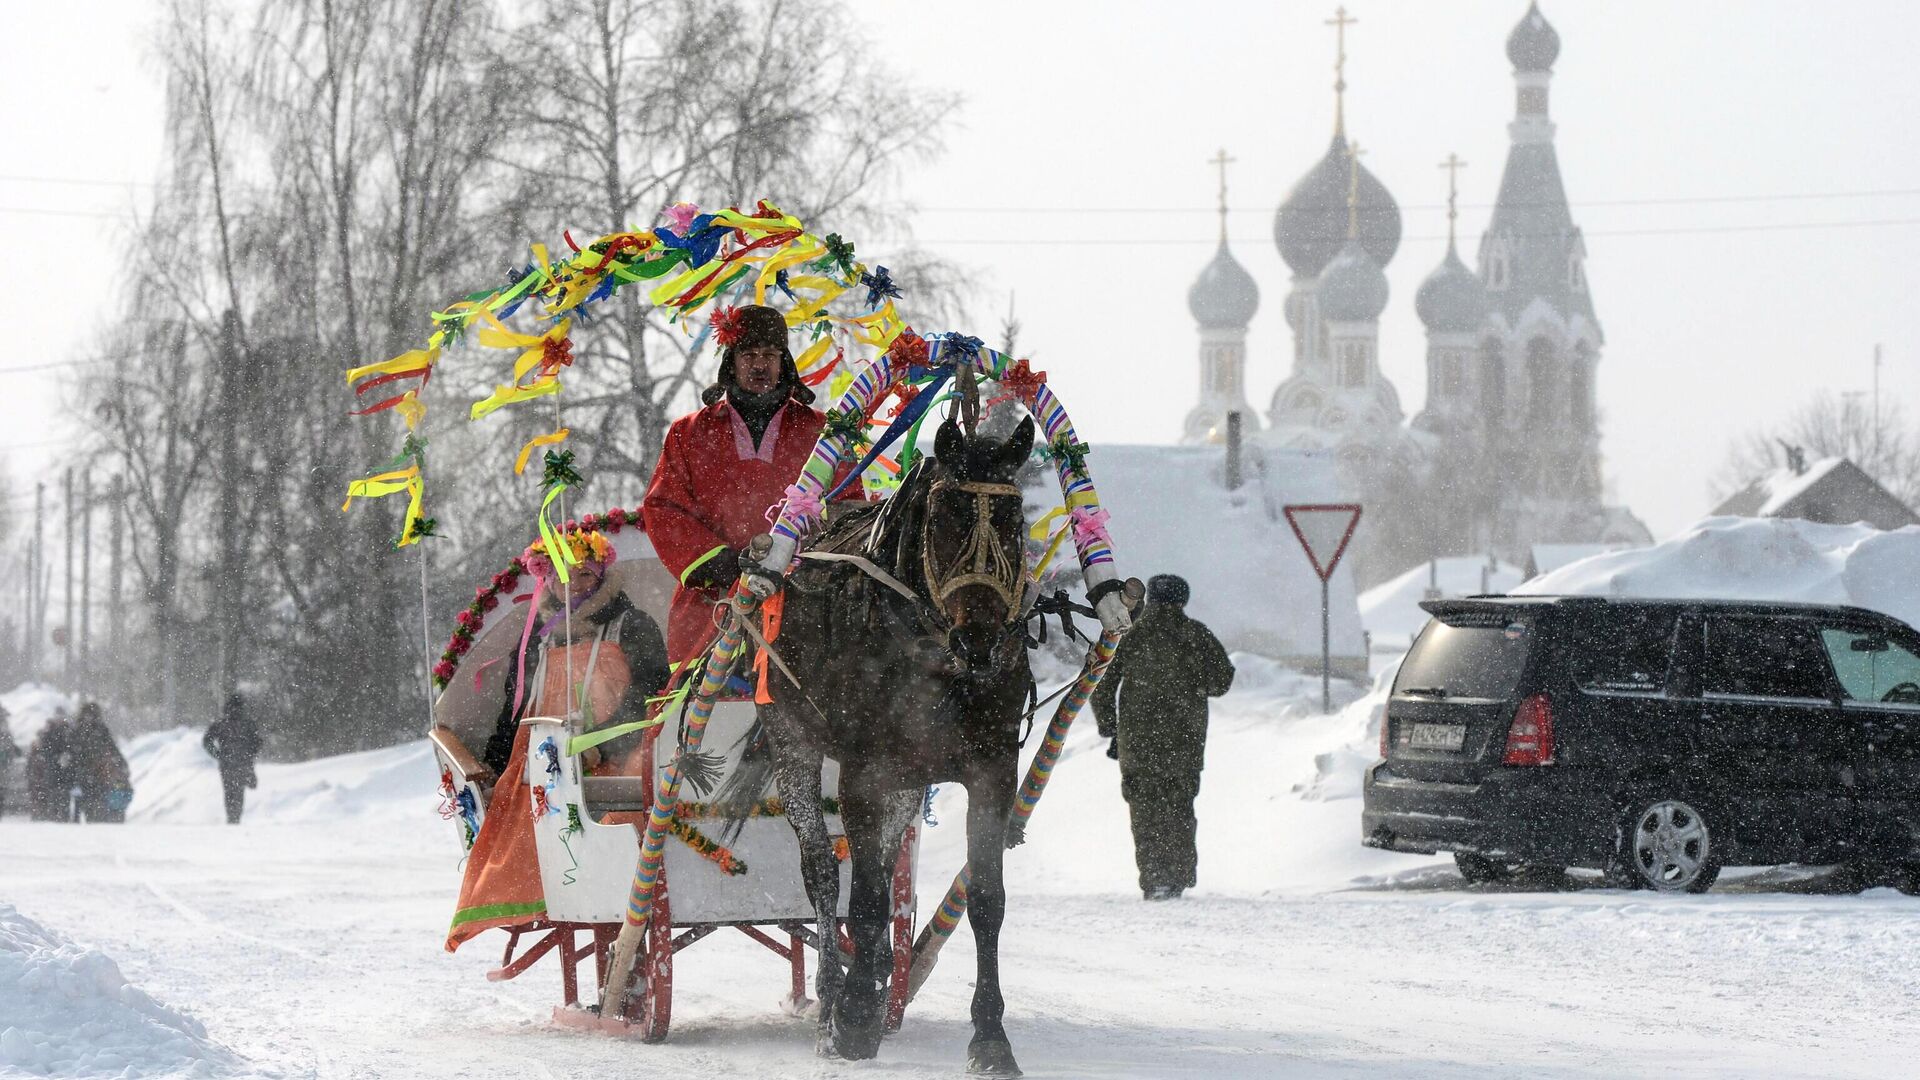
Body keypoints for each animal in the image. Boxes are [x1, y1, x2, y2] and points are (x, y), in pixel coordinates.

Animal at [721, 409, 1044, 1068]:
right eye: (944, 518)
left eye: (1012, 520)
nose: (980, 642)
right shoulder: (867, 771)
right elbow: (864, 895)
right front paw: (852, 1019)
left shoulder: (992, 769)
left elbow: (985, 900)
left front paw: (990, 1038)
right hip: (795, 742)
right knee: (823, 871)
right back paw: (833, 1001)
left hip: (906, 777)